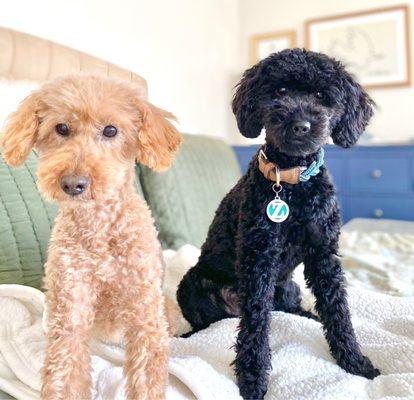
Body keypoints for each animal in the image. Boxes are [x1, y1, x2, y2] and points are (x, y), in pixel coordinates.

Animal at [0, 75, 181, 400]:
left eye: (111, 130)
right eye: (61, 128)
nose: (73, 183)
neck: (99, 228)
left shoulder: (145, 313)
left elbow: (147, 374)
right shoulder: (71, 306)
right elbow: (65, 370)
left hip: (165, 311)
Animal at [176, 48, 380, 398]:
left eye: (321, 96)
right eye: (280, 91)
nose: (300, 125)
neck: (292, 183)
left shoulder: (323, 254)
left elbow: (337, 309)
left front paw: (354, 361)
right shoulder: (258, 258)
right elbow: (256, 324)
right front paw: (252, 379)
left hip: (289, 285)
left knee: (286, 307)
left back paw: (307, 315)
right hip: (192, 286)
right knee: (209, 323)